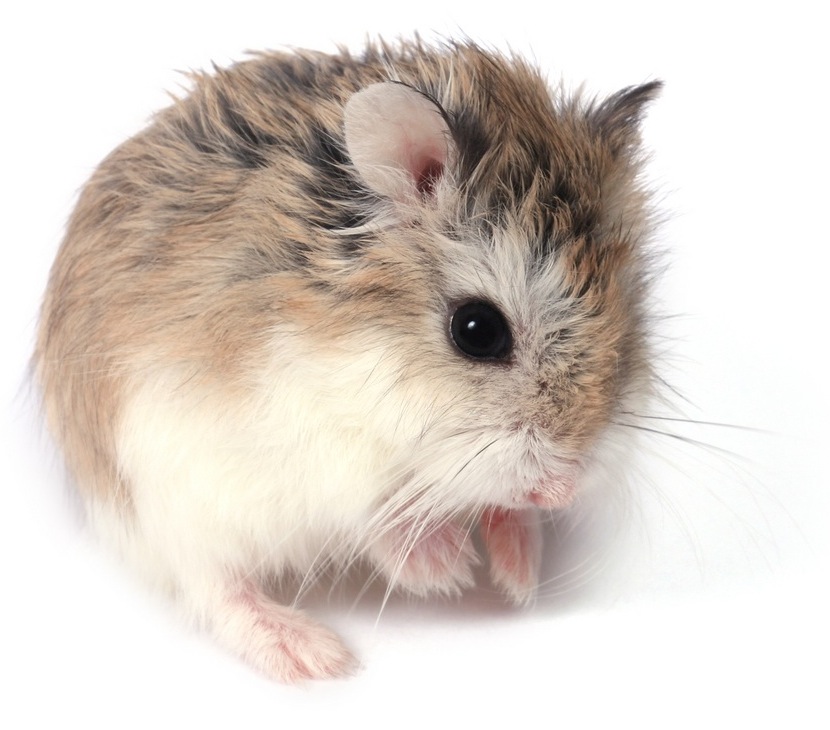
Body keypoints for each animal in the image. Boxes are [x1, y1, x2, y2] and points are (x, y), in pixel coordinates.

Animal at [35, 39, 661, 682]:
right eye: (477, 331)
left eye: (631, 317)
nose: (562, 490)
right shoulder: (301, 439)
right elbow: (371, 512)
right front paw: (448, 569)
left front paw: (517, 574)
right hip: (160, 500)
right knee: (212, 587)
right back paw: (312, 654)